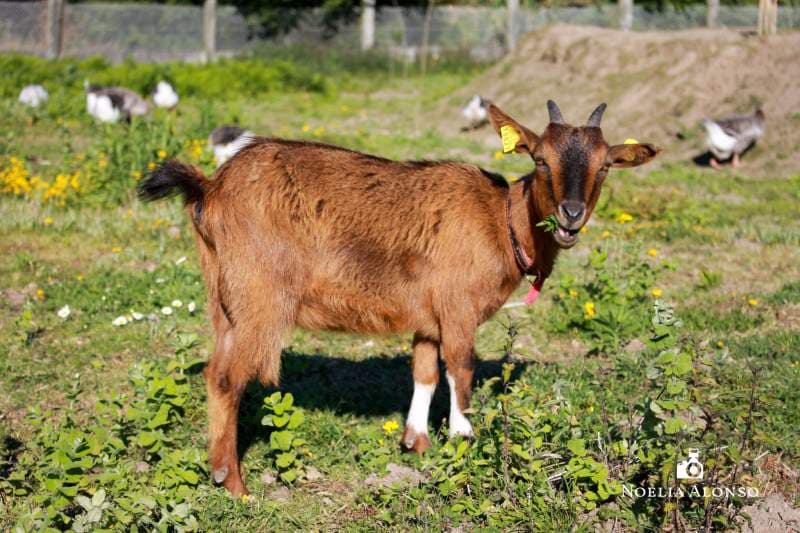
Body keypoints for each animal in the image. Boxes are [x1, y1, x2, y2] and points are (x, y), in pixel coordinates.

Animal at [138, 100, 660, 496]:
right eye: (539, 160)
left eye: (605, 165)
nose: (571, 215)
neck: (499, 221)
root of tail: (210, 187)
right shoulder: (457, 309)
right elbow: (462, 371)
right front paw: (462, 443)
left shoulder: (428, 316)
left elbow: (425, 371)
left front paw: (416, 443)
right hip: (259, 299)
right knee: (228, 378)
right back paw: (235, 485)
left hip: (227, 303)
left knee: (213, 373)